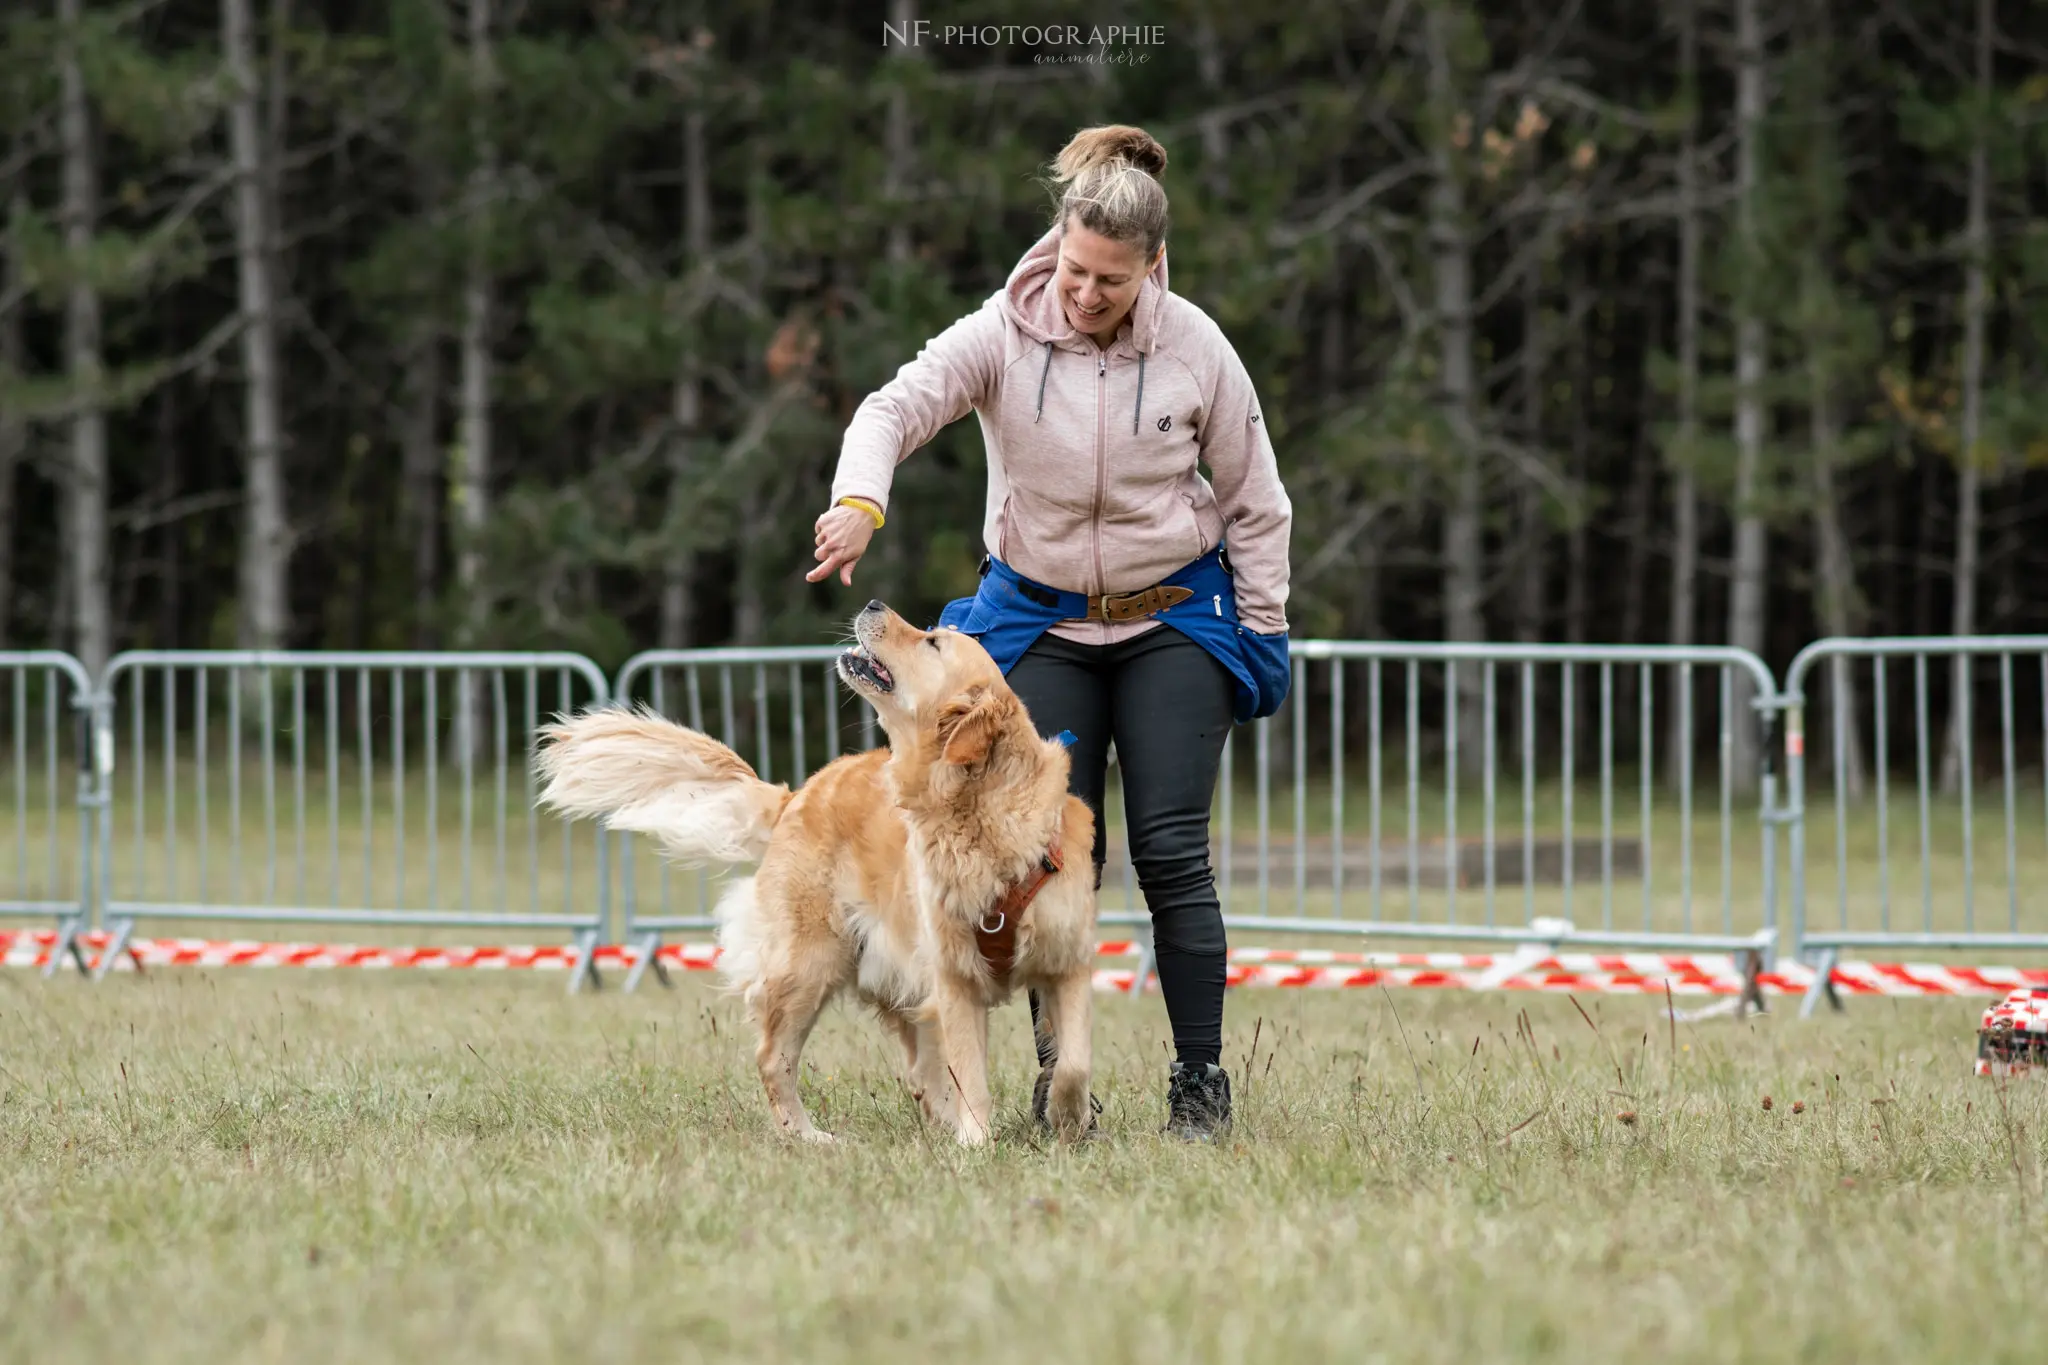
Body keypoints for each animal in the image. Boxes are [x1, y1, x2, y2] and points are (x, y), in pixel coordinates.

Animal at [536, 601, 1097, 1146]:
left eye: (933, 642)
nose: (872, 603)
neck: (977, 806)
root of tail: (796, 794)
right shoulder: (955, 976)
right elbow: (973, 1074)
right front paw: (977, 1143)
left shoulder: (1066, 964)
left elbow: (1072, 1062)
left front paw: (1066, 1119)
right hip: (808, 964)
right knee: (774, 1058)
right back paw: (808, 1136)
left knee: (921, 1067)